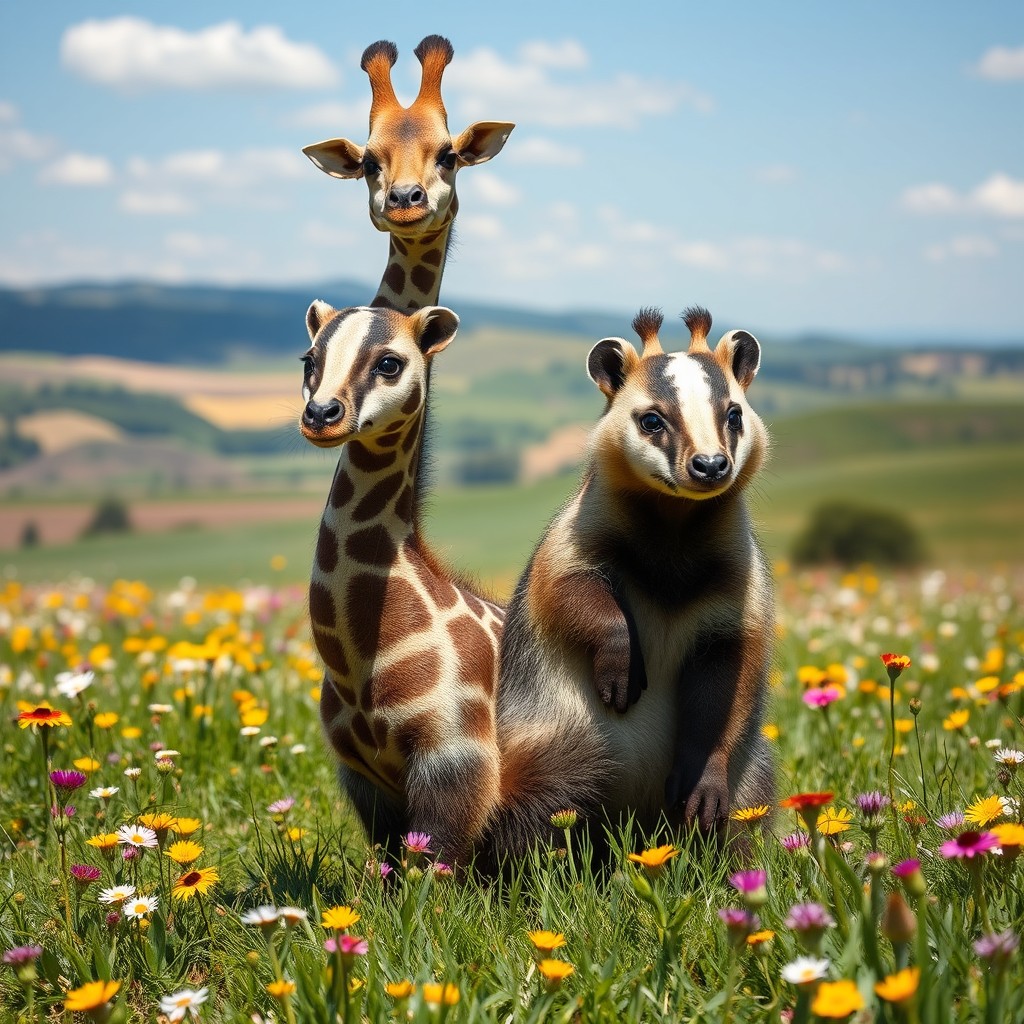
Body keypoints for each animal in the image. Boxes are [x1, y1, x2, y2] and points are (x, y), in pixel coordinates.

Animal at [300, 300, 507, 864]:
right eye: (310, 359)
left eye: (389, 363)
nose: (321, 416)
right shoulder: (364, 777)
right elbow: (393, 866)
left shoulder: (458, 761)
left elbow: (435, 868)